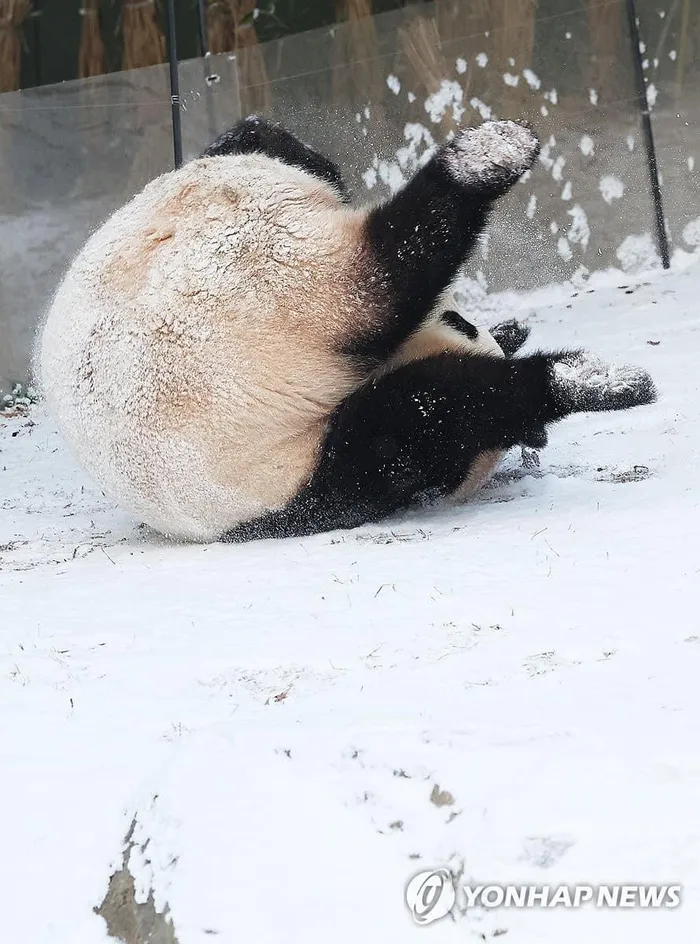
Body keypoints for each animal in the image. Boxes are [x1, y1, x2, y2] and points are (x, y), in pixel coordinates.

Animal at [38, 116, 652, 544]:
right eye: (459, 321)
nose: (467, 322)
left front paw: (512, 331)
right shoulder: (309, 471)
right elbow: (423, 425)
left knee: (264, 142)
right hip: (274, 308)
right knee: (392, 298)